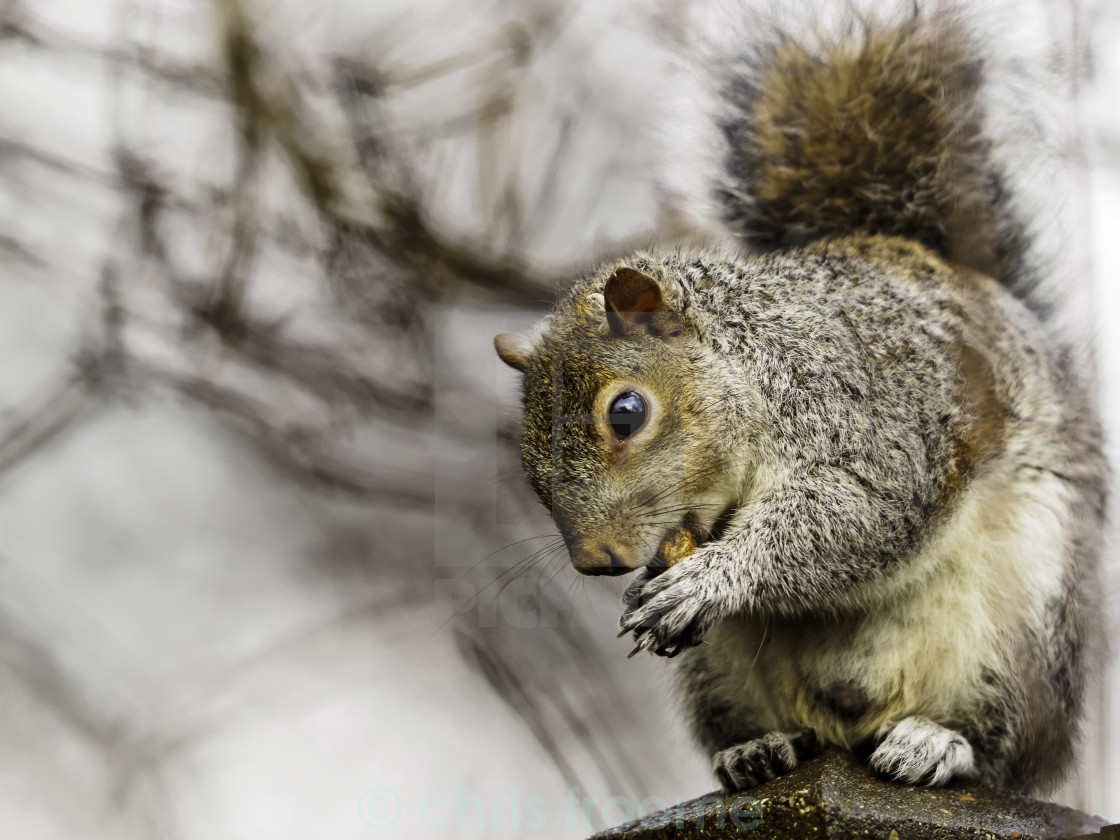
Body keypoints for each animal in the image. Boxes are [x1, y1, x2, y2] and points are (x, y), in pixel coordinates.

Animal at [495, 4, 1106, 797]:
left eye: (626, 413)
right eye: (527, 454)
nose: (598, 563)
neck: (759, 367)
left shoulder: (879, 422)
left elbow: (849, 517)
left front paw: (713, 579)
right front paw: (653, 592)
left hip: (1026, 621)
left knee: (1003, 753)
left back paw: (938, 743)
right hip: (717, 676)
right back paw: (753, 751)